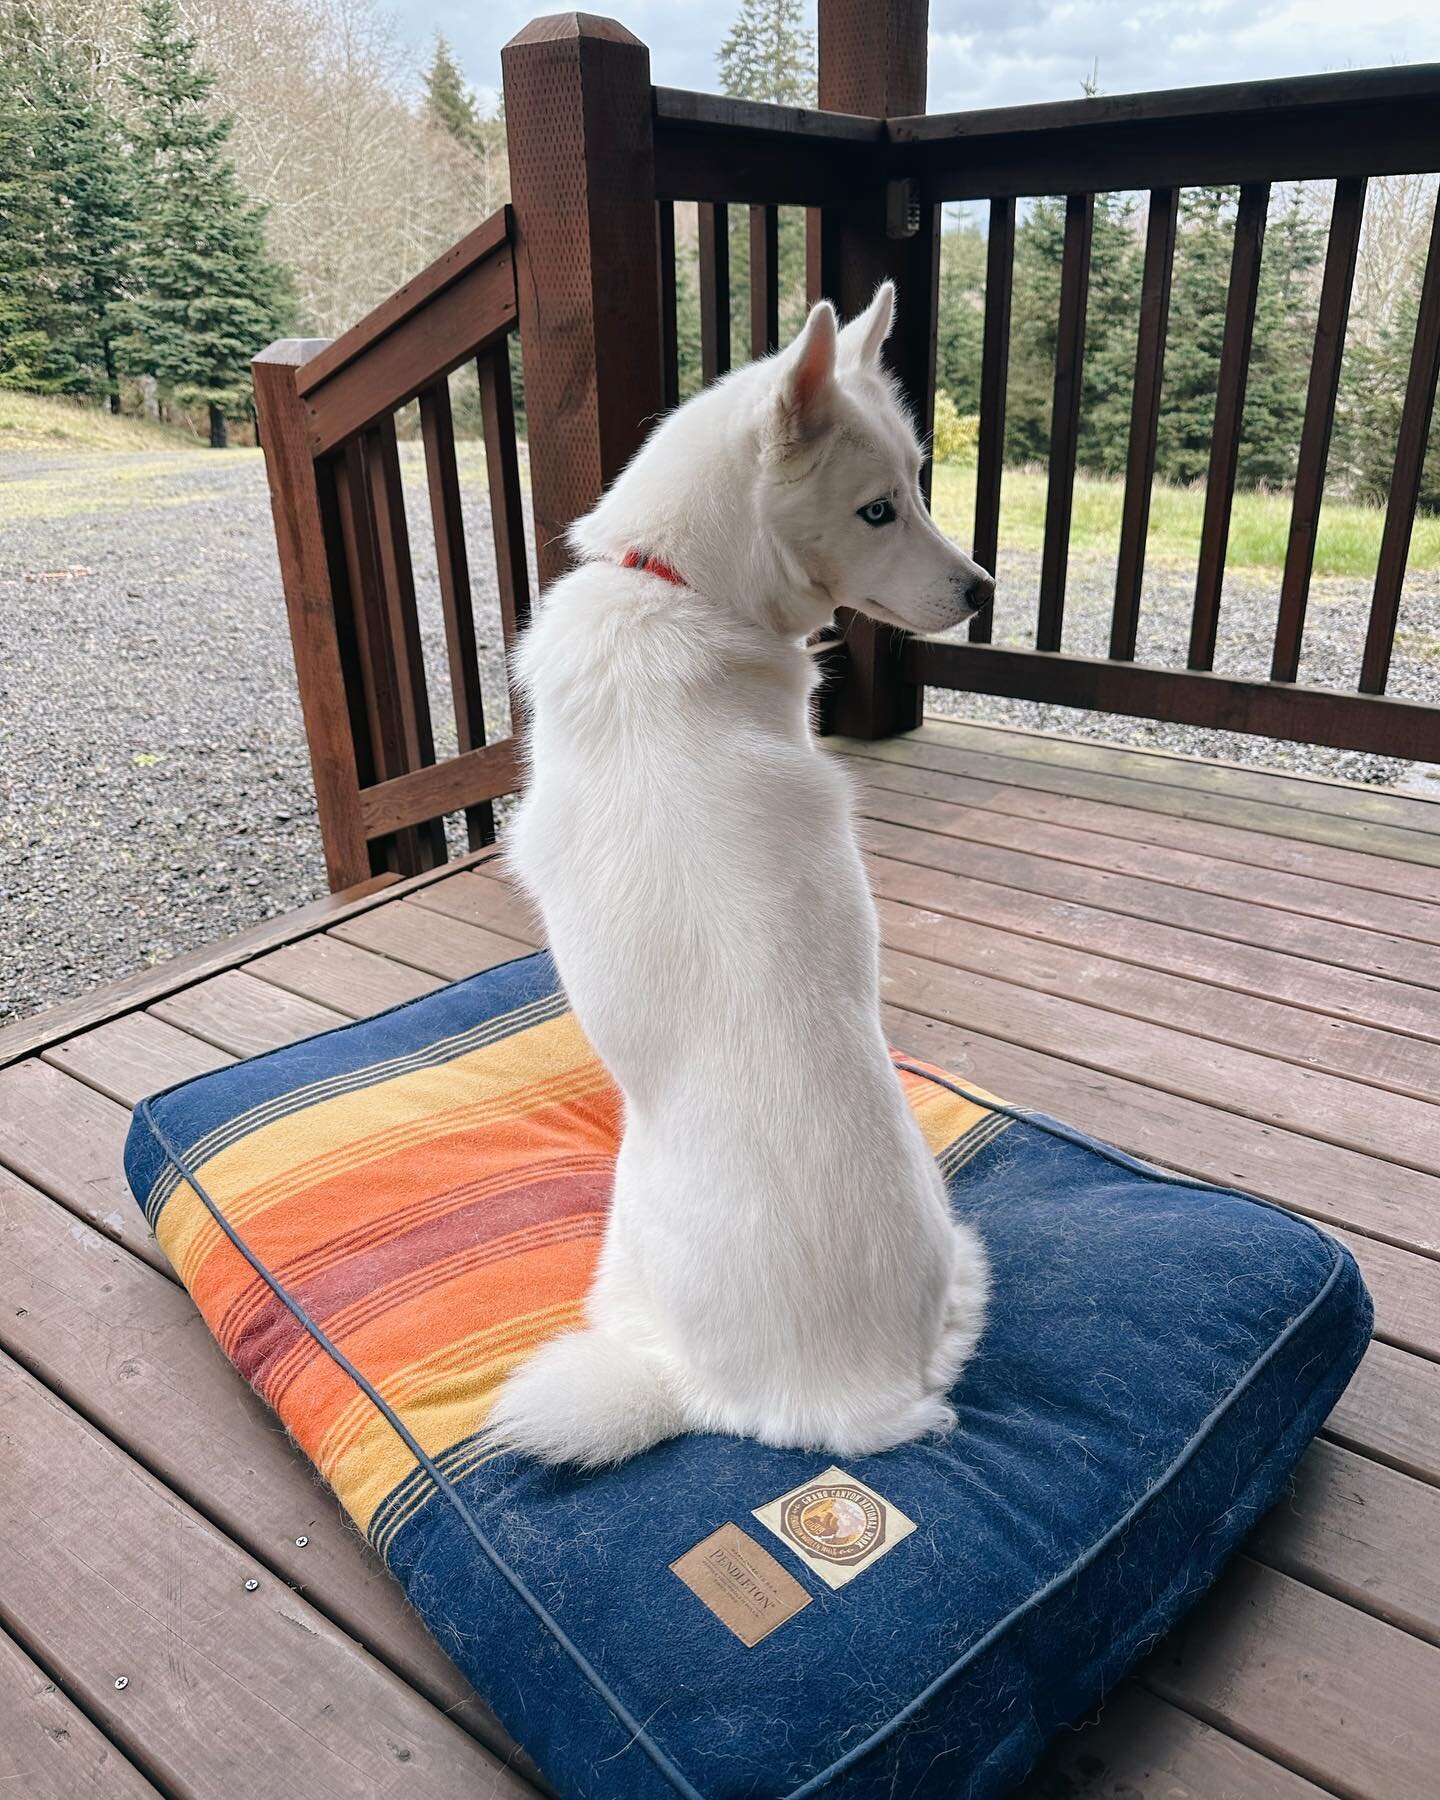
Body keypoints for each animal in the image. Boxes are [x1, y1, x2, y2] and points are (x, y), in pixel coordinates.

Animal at [489, 280, 993, 1461]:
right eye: (880, 508)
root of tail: (845, 1397)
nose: (983, 589)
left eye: (914, 489)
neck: (680, 588)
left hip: (622, 1243)